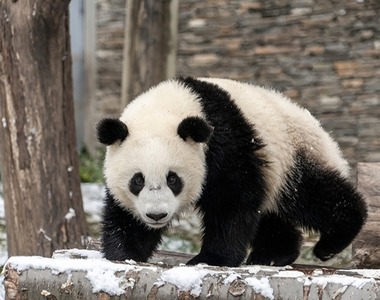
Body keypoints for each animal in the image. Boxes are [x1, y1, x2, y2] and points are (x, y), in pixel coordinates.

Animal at [96, 77, 366, 268]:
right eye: (137, 180)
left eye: (173, 179)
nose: (156, 215)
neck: (168, 107)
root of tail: (321, 130)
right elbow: (125, 215)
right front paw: (124, 253)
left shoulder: (225, 142)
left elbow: (233, 200)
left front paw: (211, 258)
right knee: (271, 213)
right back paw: (273, 254)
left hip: (292, 154)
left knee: (312, 195)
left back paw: (330, 243)